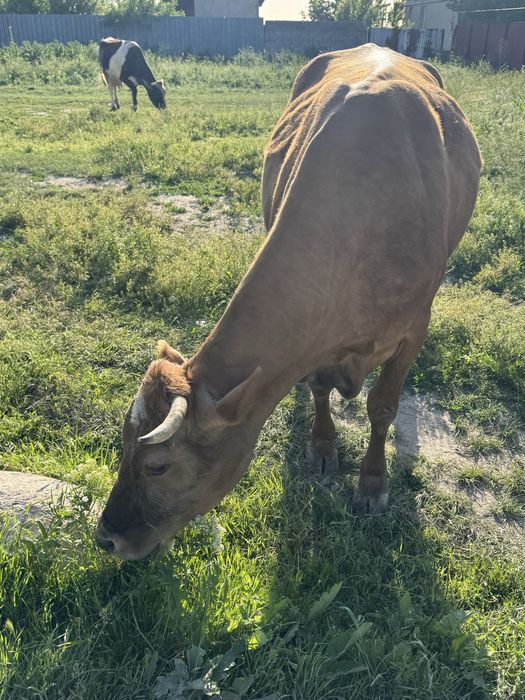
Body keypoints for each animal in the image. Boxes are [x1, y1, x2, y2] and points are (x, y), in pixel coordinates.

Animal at [96, 45, 481, 560]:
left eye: (157, 465)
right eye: (122, 445)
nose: (106, 537)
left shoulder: (413, 328)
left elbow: (382, 407)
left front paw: (372, 482)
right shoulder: (312, 343)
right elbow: (317, 387)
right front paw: (322, 445)